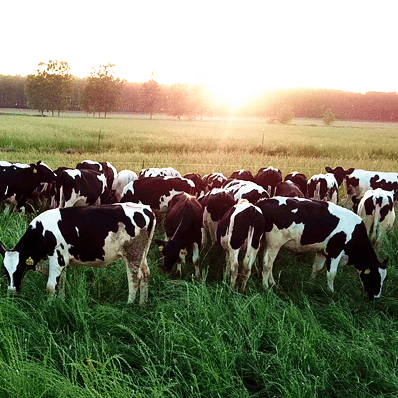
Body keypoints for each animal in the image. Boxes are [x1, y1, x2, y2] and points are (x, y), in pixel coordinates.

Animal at [0, 202, 155, 304]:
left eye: (20, 268)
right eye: (5, 270)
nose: (12, 292)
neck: (42, 231)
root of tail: (146, 209)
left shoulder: (57, 258)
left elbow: (50, 287)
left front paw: (48, 307)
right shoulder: (62, 261)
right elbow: (61, 284)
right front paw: (61, 302)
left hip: (132, 253)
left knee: (135, 279)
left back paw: (129, 305)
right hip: (142, 253)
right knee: (145, 274)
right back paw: (142, 304)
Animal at [255, 197, 388, 300]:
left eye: (384, 279)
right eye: (375, 277)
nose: (376, 297)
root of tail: (265, 201)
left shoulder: (322, 251)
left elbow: (316, 267)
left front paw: (311, 283)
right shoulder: (334, 252)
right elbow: (332, 274)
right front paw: (331, 292)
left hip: (267, 243)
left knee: (269, 263)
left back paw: (272, 283)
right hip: (274, 243)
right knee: (267, 263)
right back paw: (266, 286)